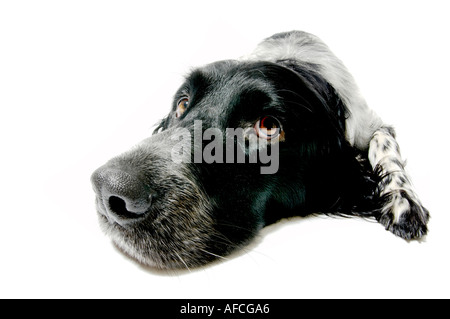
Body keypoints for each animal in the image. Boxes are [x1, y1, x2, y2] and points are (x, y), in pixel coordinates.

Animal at [90, 31, 428, 270]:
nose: (108, 193)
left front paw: (402, 201)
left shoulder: (368, 123)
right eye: (183, 104)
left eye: (268, 126)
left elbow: (385, 147)